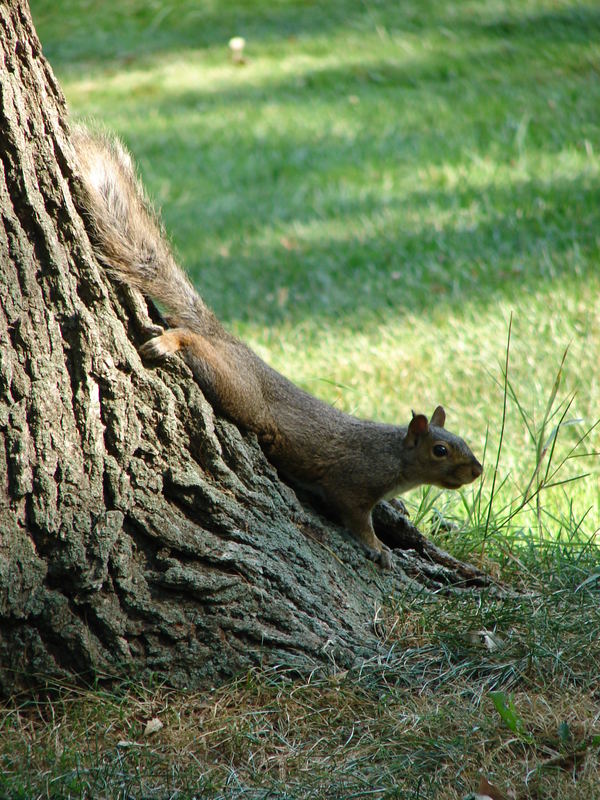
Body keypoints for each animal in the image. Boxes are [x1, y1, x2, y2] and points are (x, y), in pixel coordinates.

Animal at [72, 128, 482, 568]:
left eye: (462, 440)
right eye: (440, 450)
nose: (477, 471)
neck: (393, 454)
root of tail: (232, 342)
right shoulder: (353, 483)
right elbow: (357, 518)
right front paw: (379, 548)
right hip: (238, 389)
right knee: (195, 344)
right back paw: (171, 340)